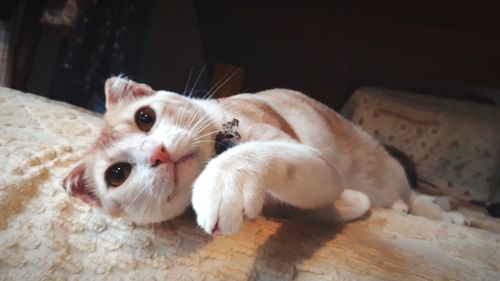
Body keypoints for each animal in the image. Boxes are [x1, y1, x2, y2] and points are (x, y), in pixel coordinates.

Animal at [63, 76, 468, 234]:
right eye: (117, 174)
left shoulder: (309, 158)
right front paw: (350, 205)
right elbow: (329, 208)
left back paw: (448, 213)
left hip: (394, 171)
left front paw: (220, 180)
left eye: (145, 117)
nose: (158, 153)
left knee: (417, 198)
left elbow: (252, 152)